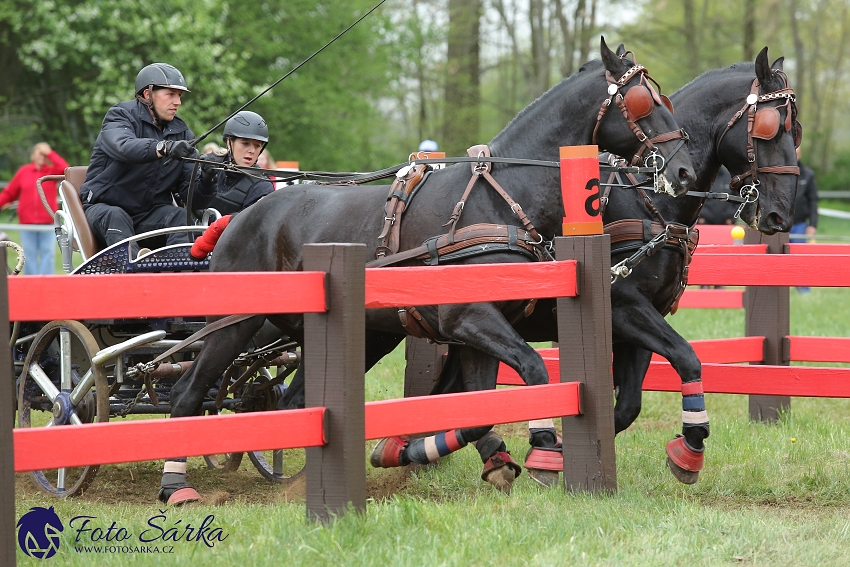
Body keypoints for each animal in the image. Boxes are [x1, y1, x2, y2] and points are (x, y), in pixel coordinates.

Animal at [156, 37, 692, 504]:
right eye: (643, 101)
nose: (683, 170)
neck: (499, 199)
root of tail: (239, 216)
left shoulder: (479, 330)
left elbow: (477, 409)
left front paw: (417, 450)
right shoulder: (470, 317)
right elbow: (535, 373)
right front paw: (536, 455)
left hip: (351, 335)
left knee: (295, 404)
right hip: (235, 325)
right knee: (186, 393)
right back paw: (176, 486)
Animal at [434, 45, 800, 488]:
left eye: (795, 130)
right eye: (771, 129)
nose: (781, 215)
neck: (648, 200)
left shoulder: (640, 321)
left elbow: (628, 406)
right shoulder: (624, 307)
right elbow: (686, 356)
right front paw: (690, 446)